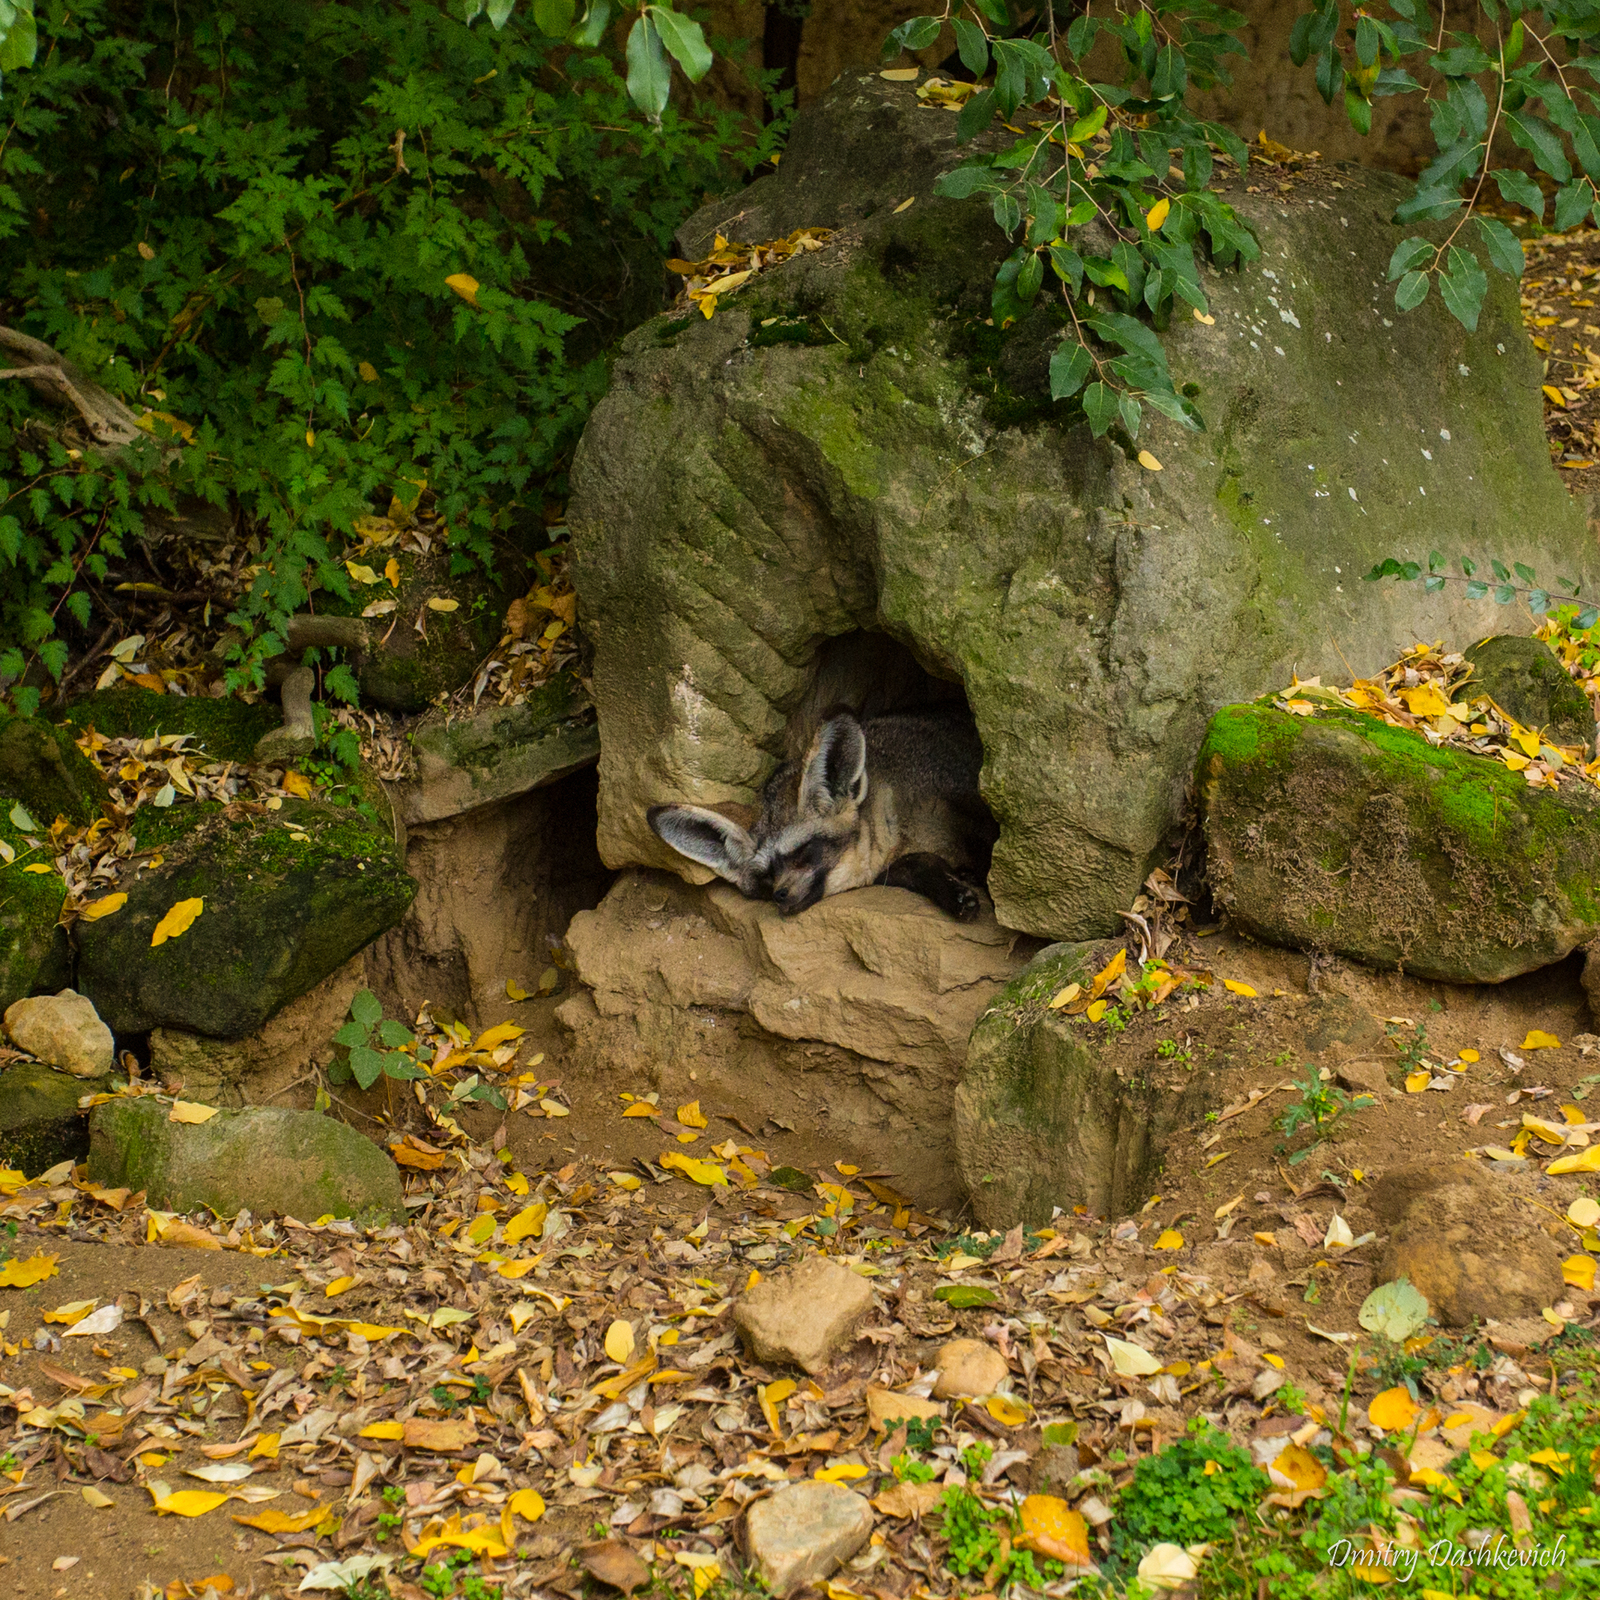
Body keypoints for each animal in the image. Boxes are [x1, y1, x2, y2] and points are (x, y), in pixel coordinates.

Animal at [643, 707, 992, 921]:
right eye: (766, 877)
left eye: (802, 851)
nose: (780, 895)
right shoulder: (895, 865)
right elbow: (917, 864)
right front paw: (954, 891)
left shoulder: (962, 800)